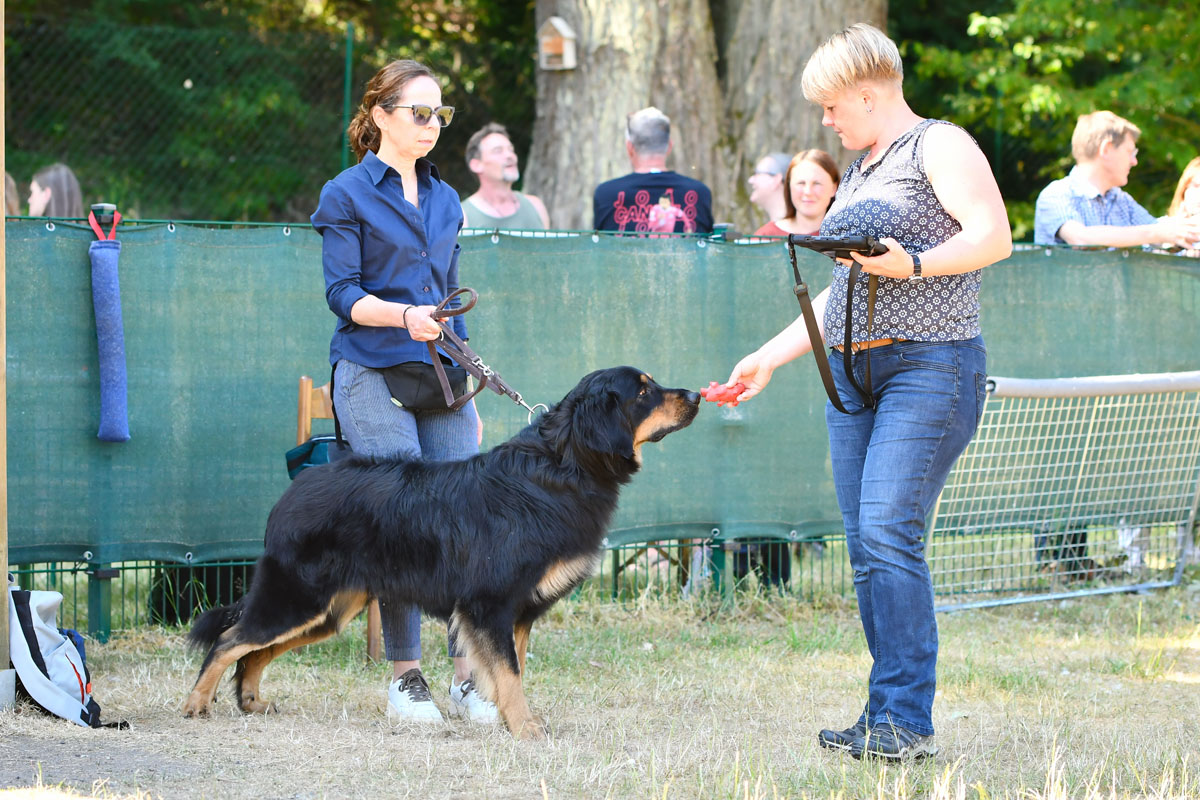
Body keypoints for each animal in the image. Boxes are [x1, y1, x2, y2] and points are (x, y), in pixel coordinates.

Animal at [182, 367, 700, 743]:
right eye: (643, 391)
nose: (696, 394)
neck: (562, 466)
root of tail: (296, 487)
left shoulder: (516, 612)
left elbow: (510, 671)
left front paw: (504, 717)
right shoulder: (488, 604)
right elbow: (510, 672)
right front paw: (525, 727)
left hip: (328, 611)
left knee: (255, 650)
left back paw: (251, 702)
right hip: (296, 598)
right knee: (229, 641)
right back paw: (195, 704)